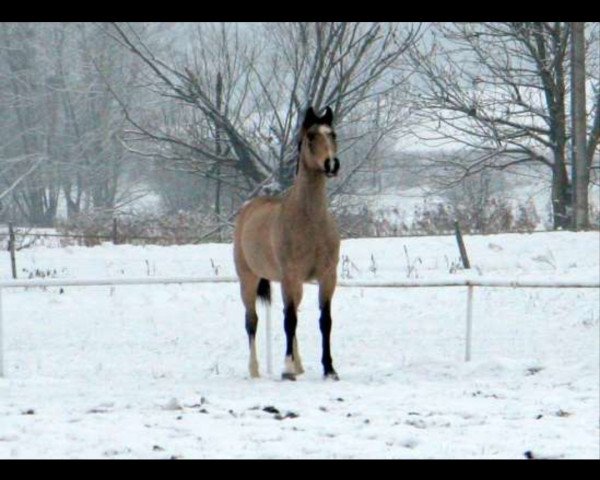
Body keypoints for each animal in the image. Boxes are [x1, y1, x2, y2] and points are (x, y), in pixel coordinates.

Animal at [232, 106, 340, 382]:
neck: (310, 222)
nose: (332, 164)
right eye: (311, 137)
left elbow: (324, 321)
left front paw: (329, 369)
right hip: (248, 280)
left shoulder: (327, 277)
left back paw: (299, 365)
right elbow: (289, 321)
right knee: (252, 321)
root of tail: (249, 208)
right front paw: (287, 369)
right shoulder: (290, 277)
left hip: (294, 285)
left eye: (333, 134)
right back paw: (255, 369)